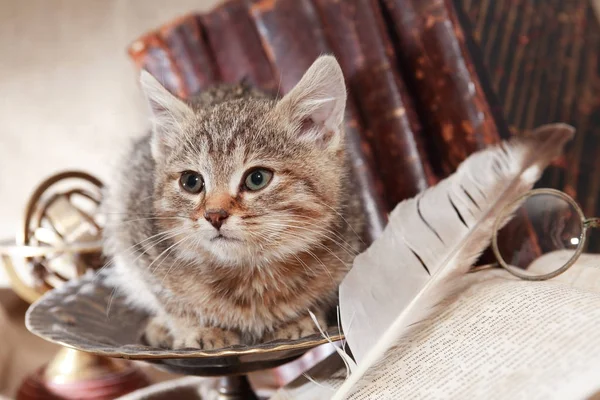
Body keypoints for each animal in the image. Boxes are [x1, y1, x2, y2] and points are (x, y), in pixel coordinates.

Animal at [102, 54, 366, 348]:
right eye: (191, 182)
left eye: (257, 178)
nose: (214, 215)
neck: (249, 275)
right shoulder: (136, 234)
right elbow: (168, 300)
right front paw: (198, 328)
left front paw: (295, 319)